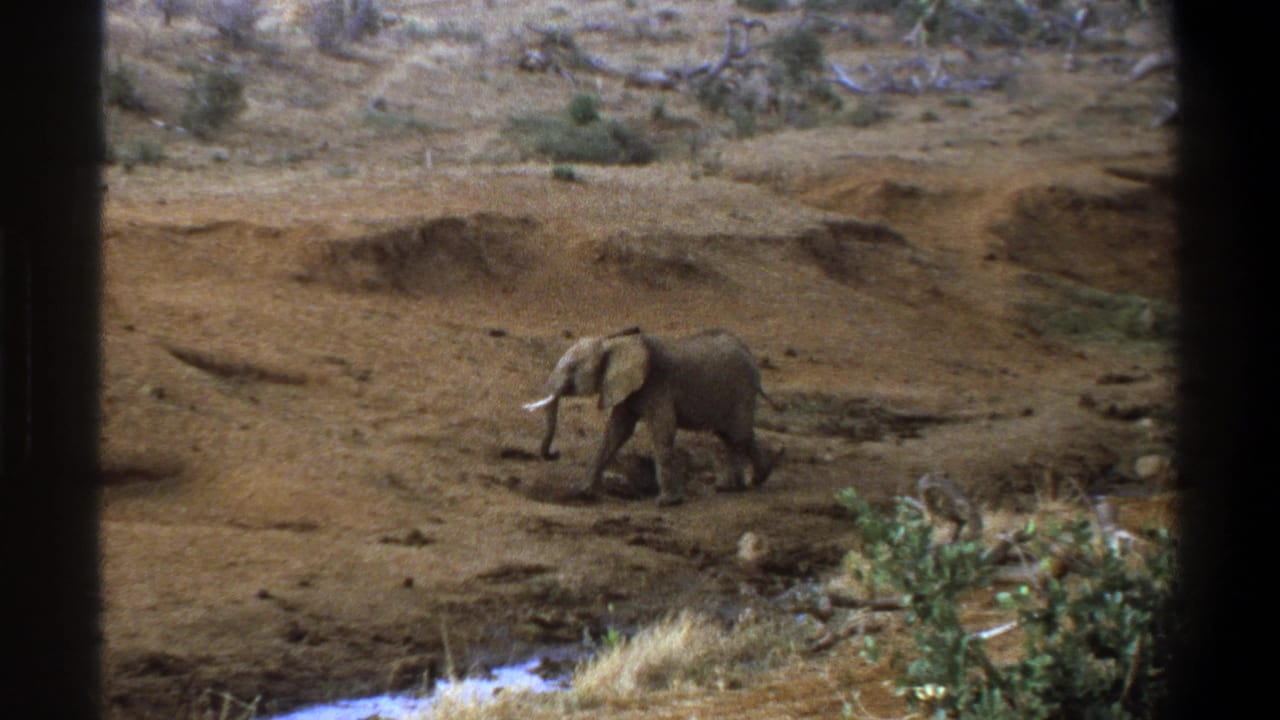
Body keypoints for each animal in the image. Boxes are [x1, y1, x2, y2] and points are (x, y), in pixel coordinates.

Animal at [524, 328, 781, 507]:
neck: (614, 342)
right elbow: (616, 432)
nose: (555, 453)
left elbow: (662, 430)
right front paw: (583, 492)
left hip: (740, 390)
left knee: (736, 435)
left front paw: (667, 503)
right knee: (734, 434)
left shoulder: (659, 384)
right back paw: (753, 480)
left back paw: (732, 487)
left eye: (573, 369)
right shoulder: (627, 388)